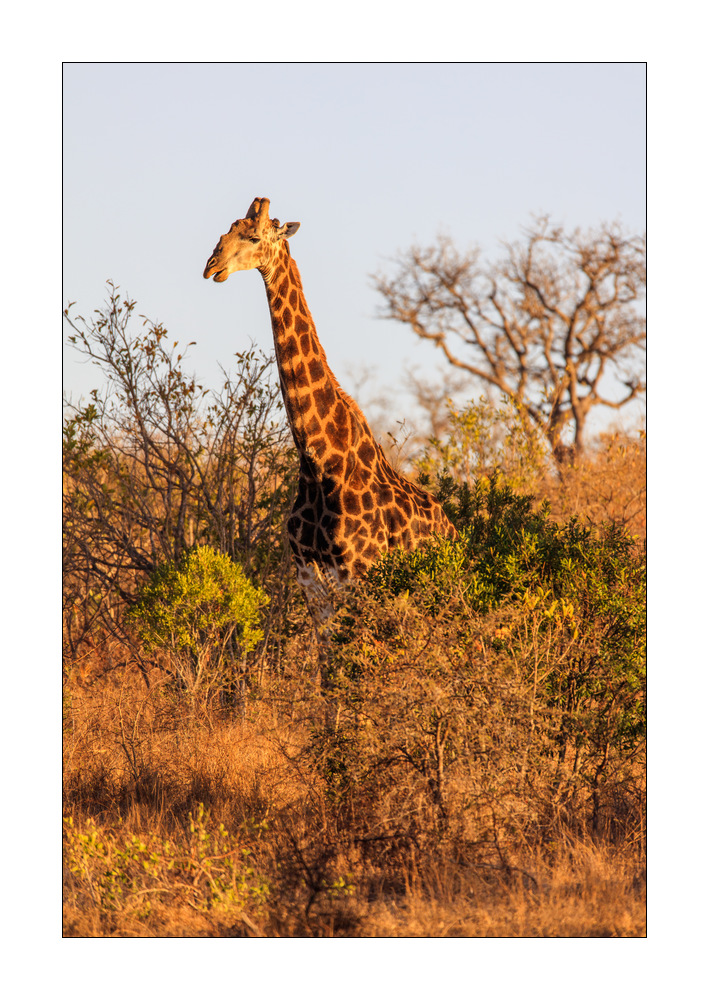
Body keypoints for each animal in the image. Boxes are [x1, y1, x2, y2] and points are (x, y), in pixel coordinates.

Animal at [203, 197, 457, 651]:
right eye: (225, 232)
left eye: (254, 235)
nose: (211, 265)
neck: (319, 459)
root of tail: (457, 535)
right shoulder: (306, 570)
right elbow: (329, 656)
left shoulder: (359, 569)